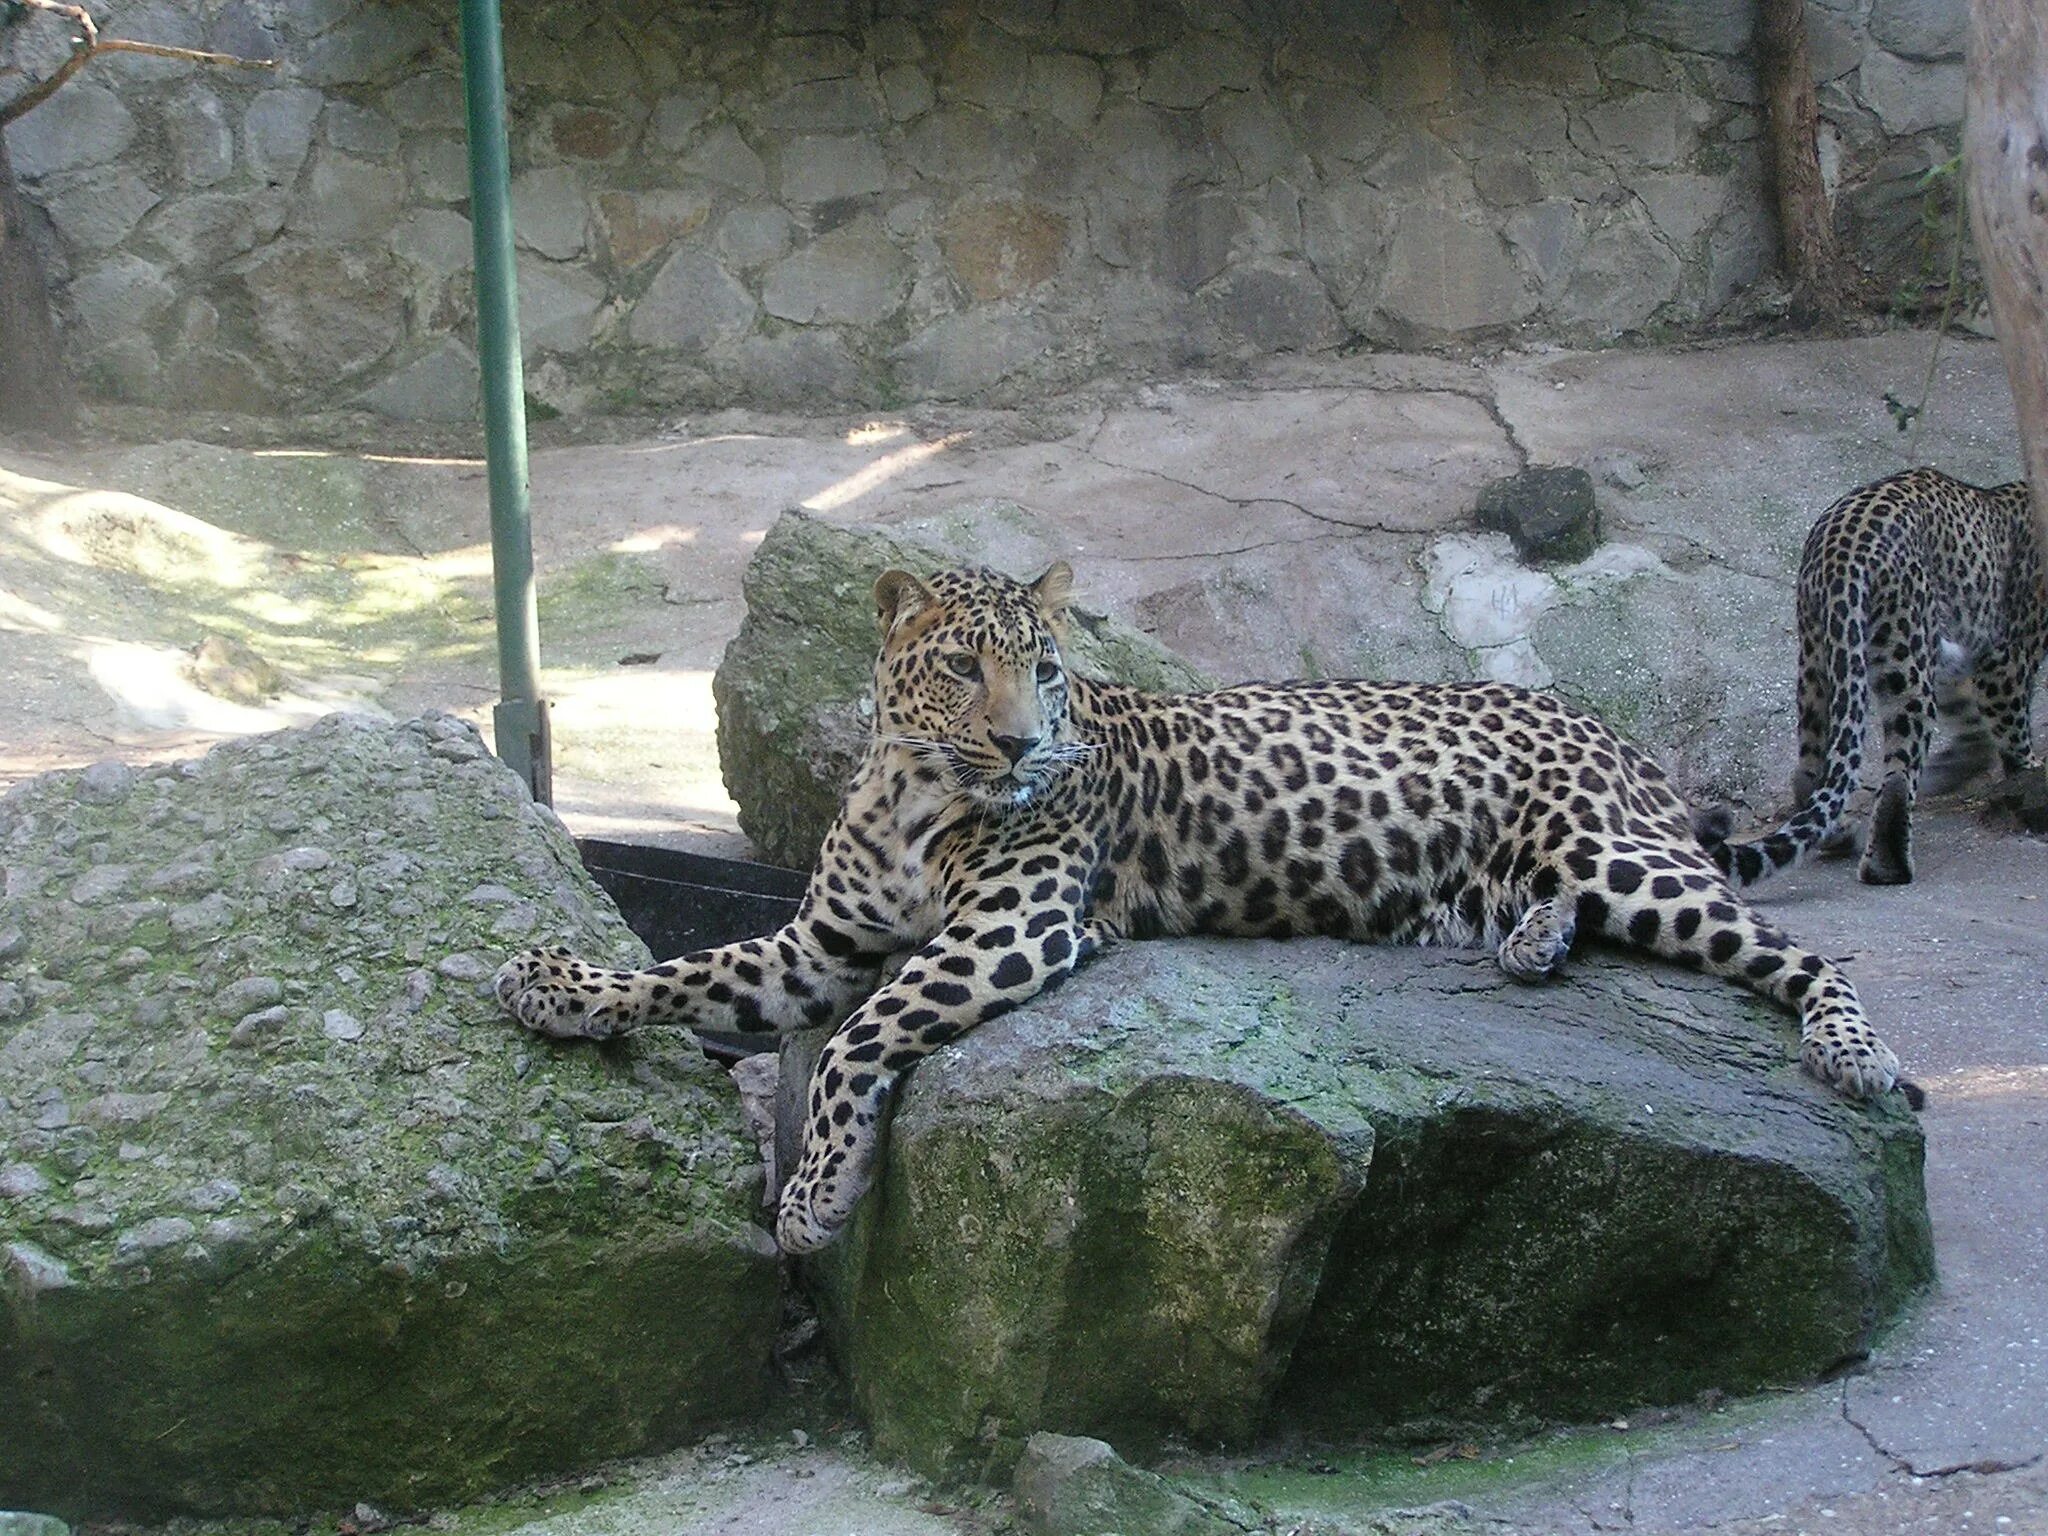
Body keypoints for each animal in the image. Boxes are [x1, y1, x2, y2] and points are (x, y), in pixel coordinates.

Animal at [1703, 466, 2039, 888]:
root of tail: (1842, 548)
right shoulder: (2008, 659)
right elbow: (2014, 732)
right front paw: (2029, 780)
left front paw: (1956, 768)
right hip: (1904, 649)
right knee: (1897, 774)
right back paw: (1887, 865)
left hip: (1819, 652)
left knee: (1812, 763)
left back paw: (1839, 834)